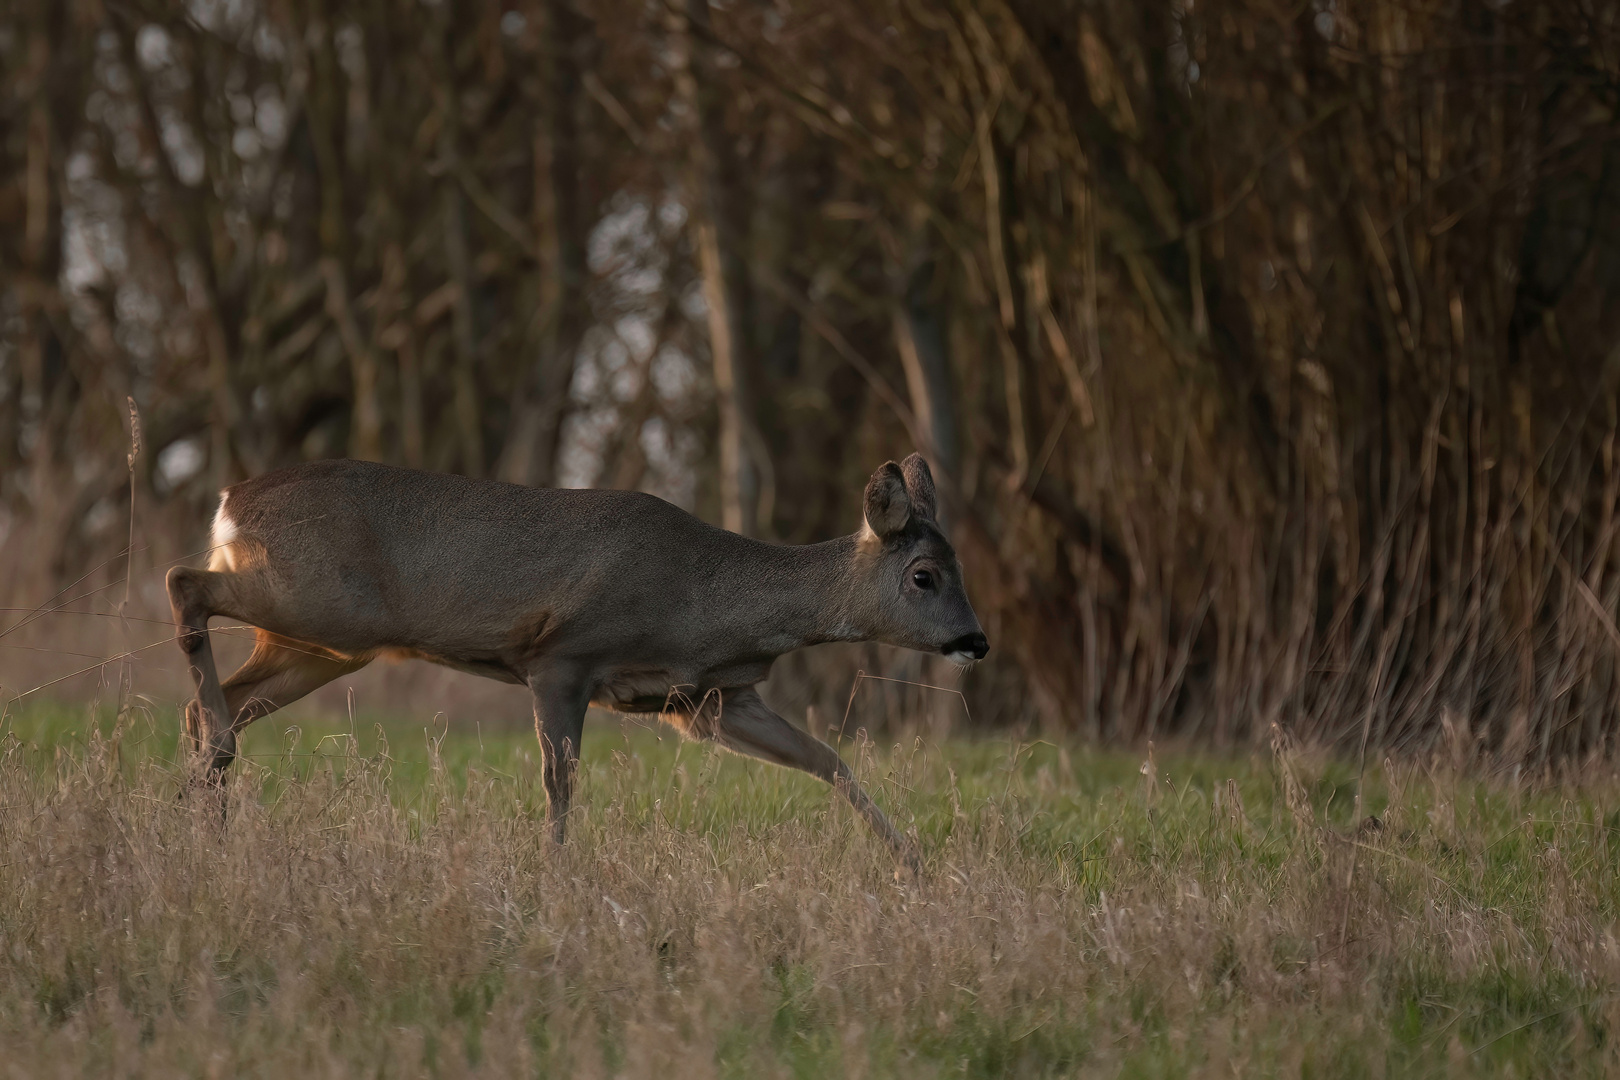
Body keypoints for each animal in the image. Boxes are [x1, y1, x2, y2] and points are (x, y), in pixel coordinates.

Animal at [170, 453, 991, 874]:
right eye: (924, 576)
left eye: (956, 564)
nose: (976, 641)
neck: (708, 601)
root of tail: (228, 500)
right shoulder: (562, 657)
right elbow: (559, 779)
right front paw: (556, 872)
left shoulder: (706, 702)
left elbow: (828, 759)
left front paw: (911, 862)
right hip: (317, 602)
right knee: (186, 582)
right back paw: (212, 768)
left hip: (321, 643)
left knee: (205, 699)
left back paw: (200, 806)